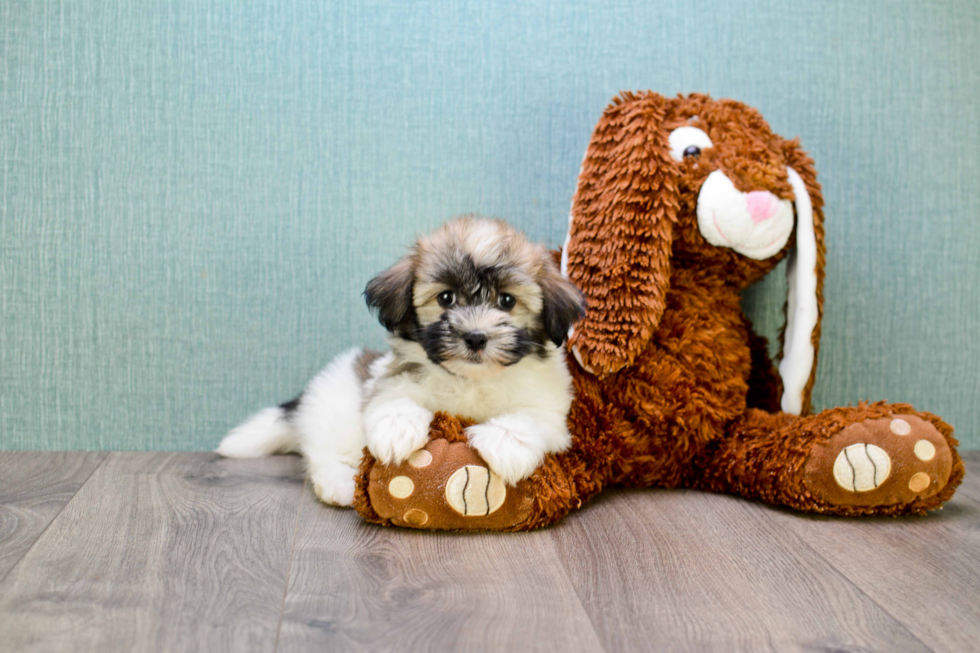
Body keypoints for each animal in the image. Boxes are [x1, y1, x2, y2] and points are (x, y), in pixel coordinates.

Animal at [218, 216, 584, 506]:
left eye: (507, 301)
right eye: (446, 298)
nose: (476, 337)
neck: (469, 379)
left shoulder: (552, 413)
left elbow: (529, 417)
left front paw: (505, 443)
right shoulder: (389, 381)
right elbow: (393, 398)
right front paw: (397, 428)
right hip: (334, 420)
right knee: (324, 455)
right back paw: (341, 485)